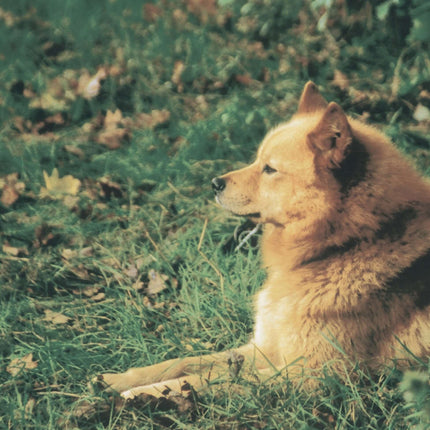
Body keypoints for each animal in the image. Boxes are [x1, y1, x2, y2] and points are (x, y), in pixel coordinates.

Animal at [96, 81, 430, 400]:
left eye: (270, 169)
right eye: (258, 160)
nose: (214, 183)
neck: (341, 248)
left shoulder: (316, 375)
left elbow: (210, 381)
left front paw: (146, 394)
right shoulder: (265, 348)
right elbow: (186, 362)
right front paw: (121, 379)